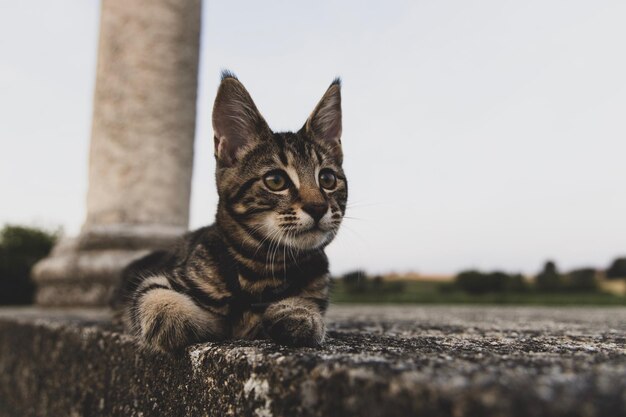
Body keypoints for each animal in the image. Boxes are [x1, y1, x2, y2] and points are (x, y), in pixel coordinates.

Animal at [112, 72, 346, 352]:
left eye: (328, 179)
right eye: (276, 181)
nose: (318, 207)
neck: (262, 269)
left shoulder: (317, 283)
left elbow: (308, 303)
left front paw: (298, 313)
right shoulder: (164, 279)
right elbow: (154, 298)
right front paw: (191, 318)